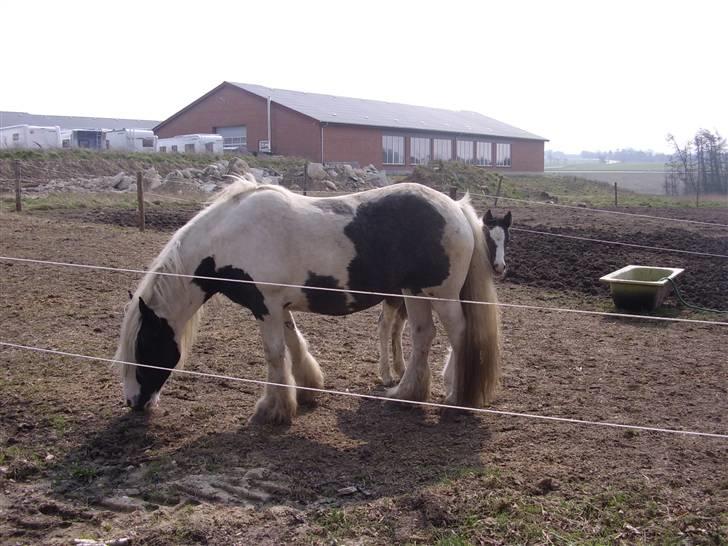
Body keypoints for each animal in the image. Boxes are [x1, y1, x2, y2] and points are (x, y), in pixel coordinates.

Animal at [378, 207, 510, 382]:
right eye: (488, 238)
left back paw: (400, 369)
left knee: (397, 327)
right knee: (384, 325)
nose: (499, 267)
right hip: (394, 297)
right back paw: (386, 375)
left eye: (507, 240)